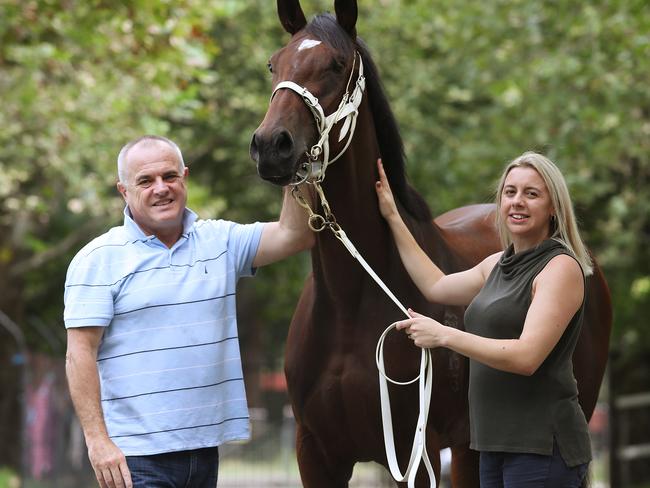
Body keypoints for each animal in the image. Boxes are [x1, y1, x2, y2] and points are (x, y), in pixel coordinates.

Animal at [249, 1, 612, 486]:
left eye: (336, 64)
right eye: (274, 64)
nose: (272, 146)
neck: (349, 302)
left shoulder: (415, 451)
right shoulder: (316, 453)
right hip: (469, 448)